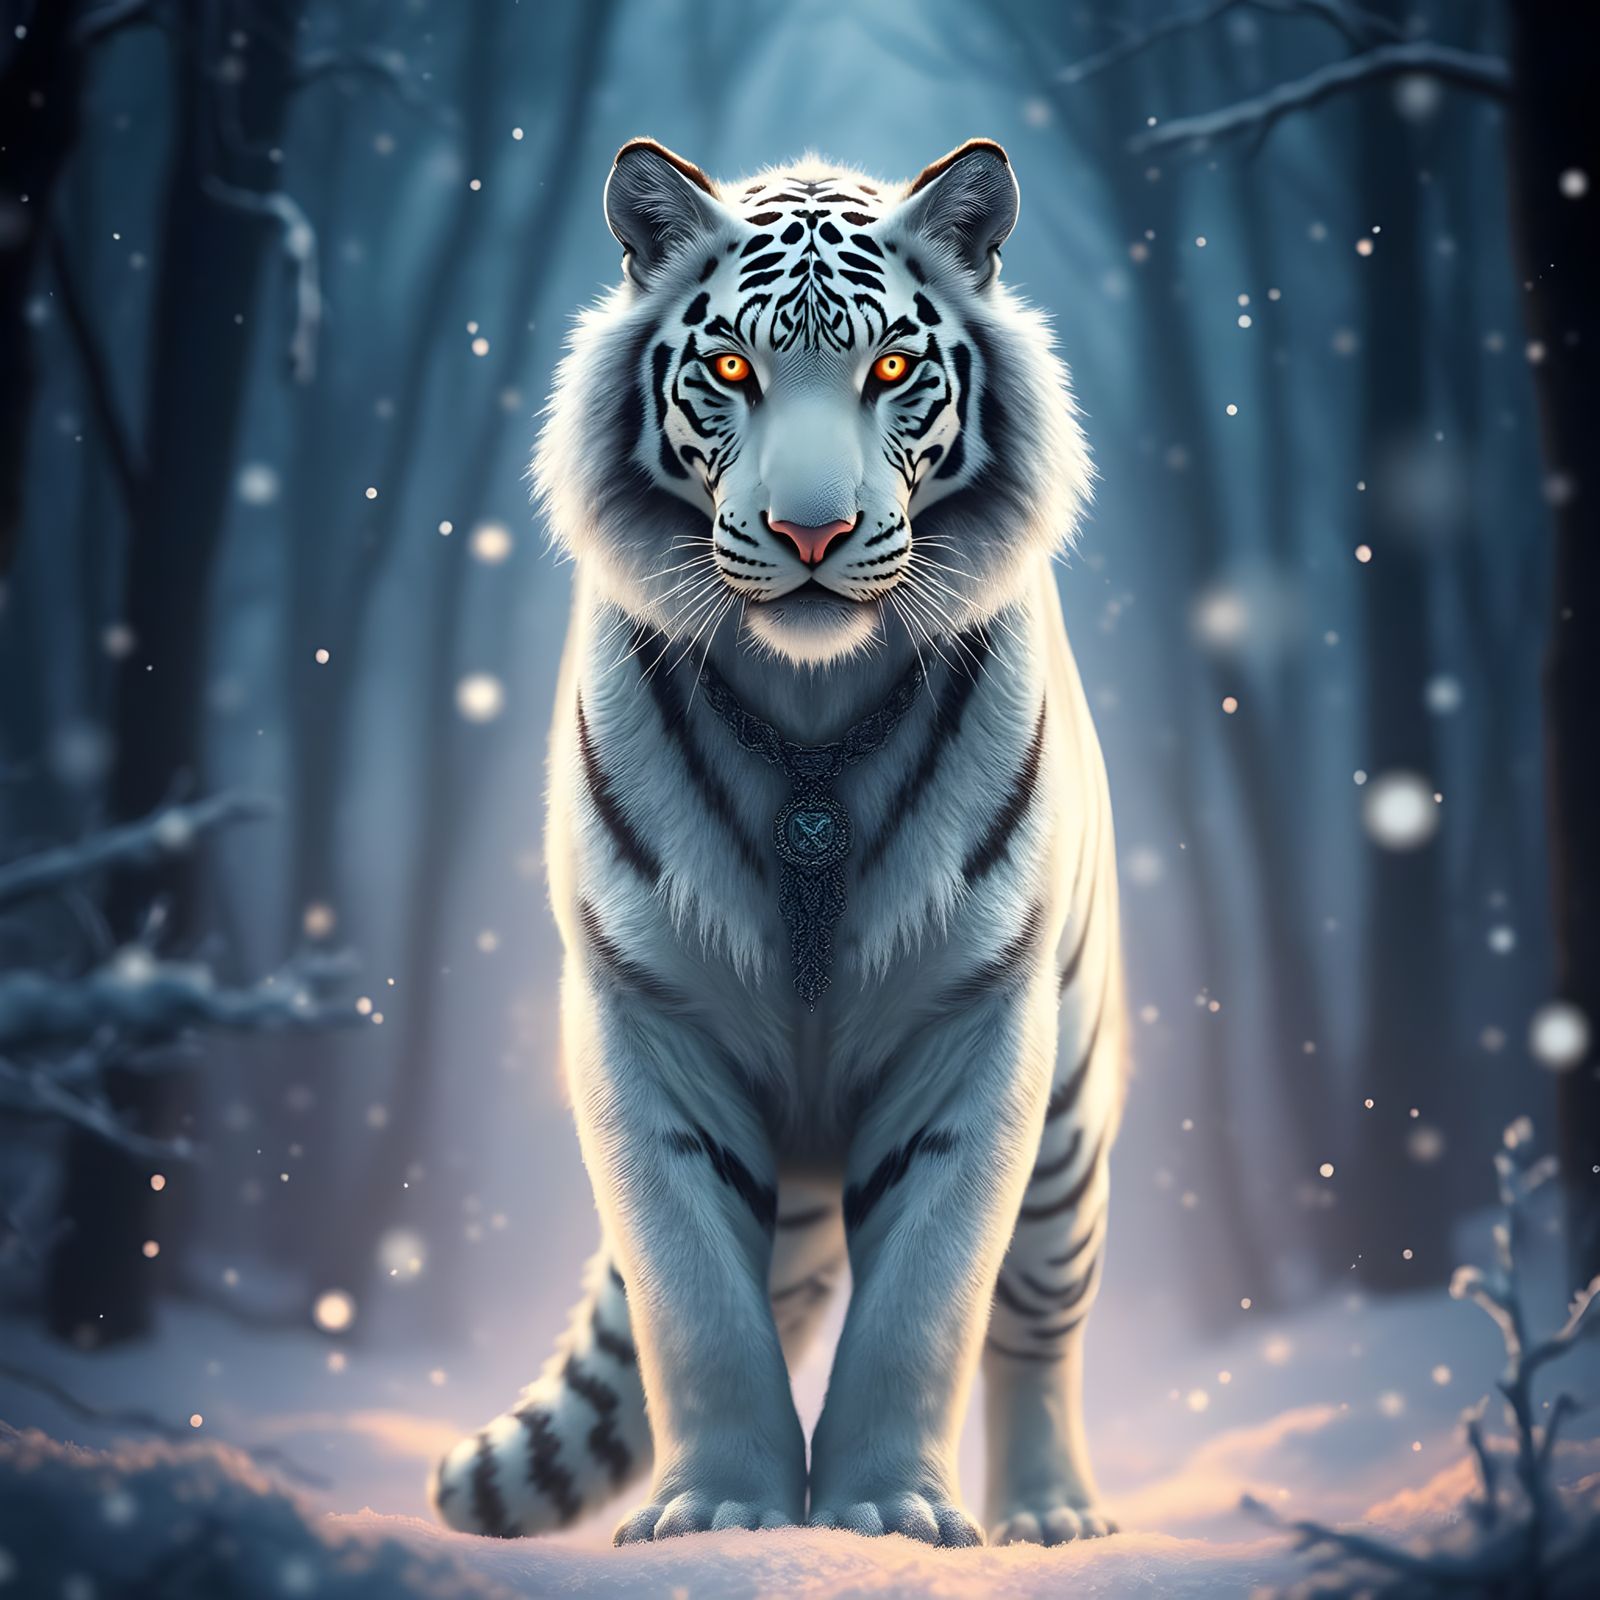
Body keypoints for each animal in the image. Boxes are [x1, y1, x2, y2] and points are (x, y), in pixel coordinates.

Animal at [430, 137, 1126, 1549]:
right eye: (734, 369)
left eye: (894, 371)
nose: (812, 532)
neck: (808, 709)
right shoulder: (649, 1021)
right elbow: (692, 1294)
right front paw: (717, 1512)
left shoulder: (975, 1025)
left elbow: (926, 1299)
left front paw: (888, 1513)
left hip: (1073, 1123)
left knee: (1036, 1324)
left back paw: (1048, 1515)